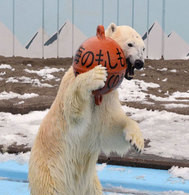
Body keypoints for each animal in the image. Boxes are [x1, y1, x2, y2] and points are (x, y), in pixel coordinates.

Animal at [28, 23, 145, 195]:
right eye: (130, 44)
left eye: (143, 48)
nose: (139, 62)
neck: (97, 97)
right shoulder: (72, 90)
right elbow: (74, 112)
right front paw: (96, 75)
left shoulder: (107, 100)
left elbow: (110, 130)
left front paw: (137, 141)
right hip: (51, 175)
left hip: (90, 184)